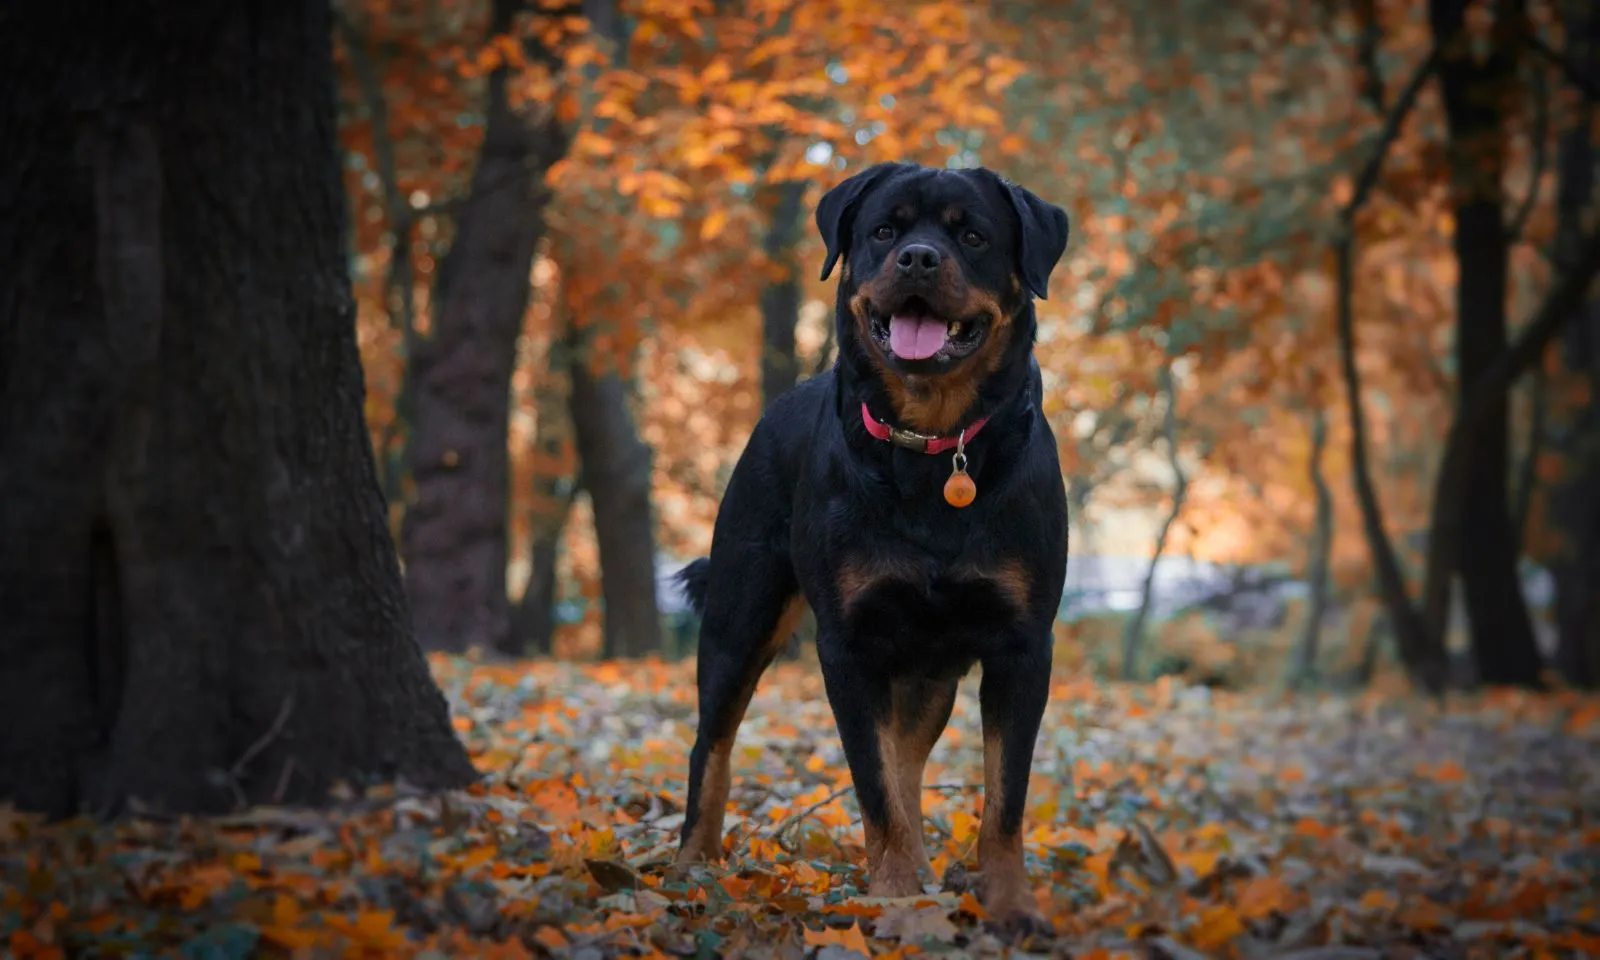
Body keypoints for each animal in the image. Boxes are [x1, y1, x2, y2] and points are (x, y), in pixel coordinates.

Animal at [668, 163, 1068, 928]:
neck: (935, 447)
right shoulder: (848, 647)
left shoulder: (1023, 644)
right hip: (741, 616)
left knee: (908, 759)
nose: (917, 258)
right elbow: (873, 786)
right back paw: (692, 867)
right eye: (885, 229)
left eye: (973, 235)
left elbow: (1002, 796)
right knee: (713, 743)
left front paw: (1008, 904)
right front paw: (898, 901)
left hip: (929, 668)